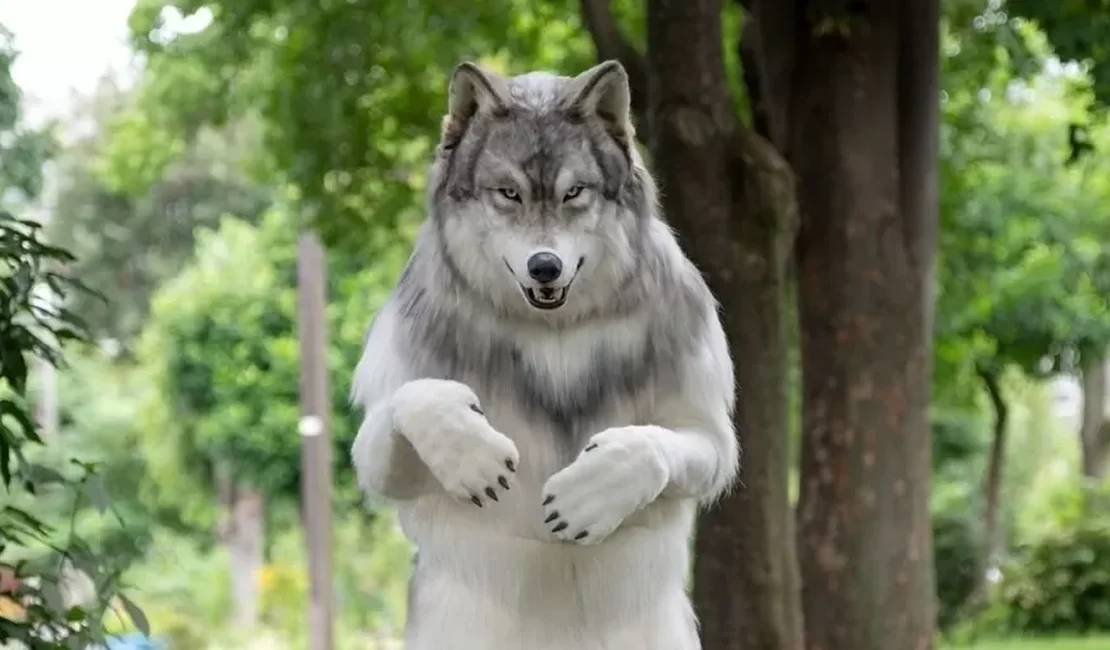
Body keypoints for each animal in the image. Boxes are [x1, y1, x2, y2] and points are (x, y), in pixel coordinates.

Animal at [350, 59, 738, 650]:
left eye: (574, 191)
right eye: (508, 193)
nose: (545, 267)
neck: (552, 332)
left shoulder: (706, 432)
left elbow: (652, 445)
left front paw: (593, 490)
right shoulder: (378, 447)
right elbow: (414, 400)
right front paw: (471, 453)